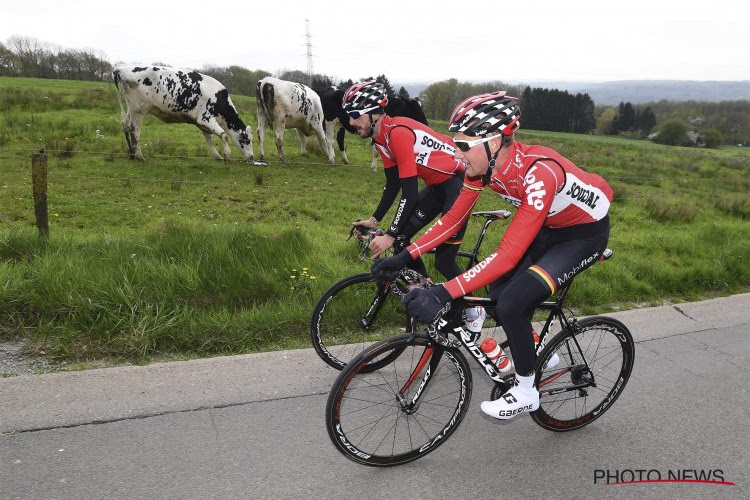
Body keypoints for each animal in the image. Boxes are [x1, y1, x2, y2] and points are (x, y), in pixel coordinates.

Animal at [111, 64, 253, 161]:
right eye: (247, 140)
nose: (251, 157)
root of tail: (122, 68)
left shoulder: (201, 123)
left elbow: (209, 138)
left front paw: (217, 156)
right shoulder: (205, 118)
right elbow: (224, 135)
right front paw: (226, 155)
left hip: (131, 109)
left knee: (126, 125)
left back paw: (132, 154)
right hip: (139, 110)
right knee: (134, 130)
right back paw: (139, 156)